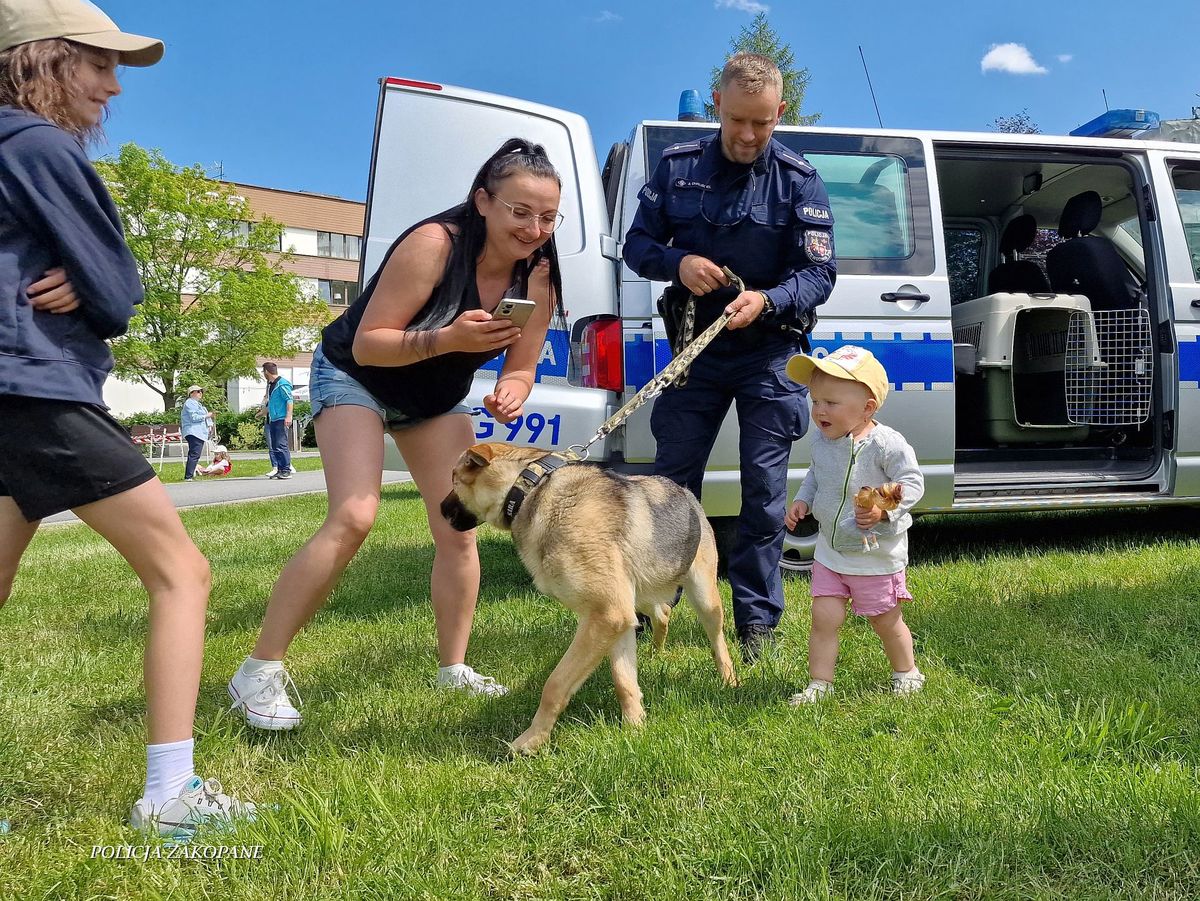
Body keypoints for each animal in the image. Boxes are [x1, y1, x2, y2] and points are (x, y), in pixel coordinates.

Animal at [441, 442, 738, 754]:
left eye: (453, 478)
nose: (439, 510)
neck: (530, 489)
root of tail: (688, 494)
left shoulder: (606, 616)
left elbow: (555, 684)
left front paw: (532, 740)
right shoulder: (615, 619)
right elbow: (624, 680)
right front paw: (634, 728)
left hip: (703, 597)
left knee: (718, 641)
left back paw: (729, 680)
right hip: (640, 597)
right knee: (663, 613)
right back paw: (657, 652)